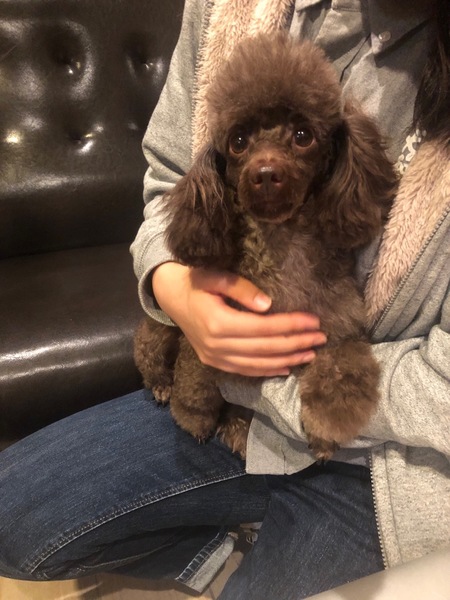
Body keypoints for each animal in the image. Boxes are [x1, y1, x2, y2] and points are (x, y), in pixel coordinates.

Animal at [134, 32, 397, 460]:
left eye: (303, 136)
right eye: (238, 142)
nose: (266, 174)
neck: (280, 244)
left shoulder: (339, 326)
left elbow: (343, 368)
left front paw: (326, 426)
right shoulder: (209, 334)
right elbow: (196, 373)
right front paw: (193, 414)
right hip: (157, 332)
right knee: (150, 358)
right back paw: (164, 387)